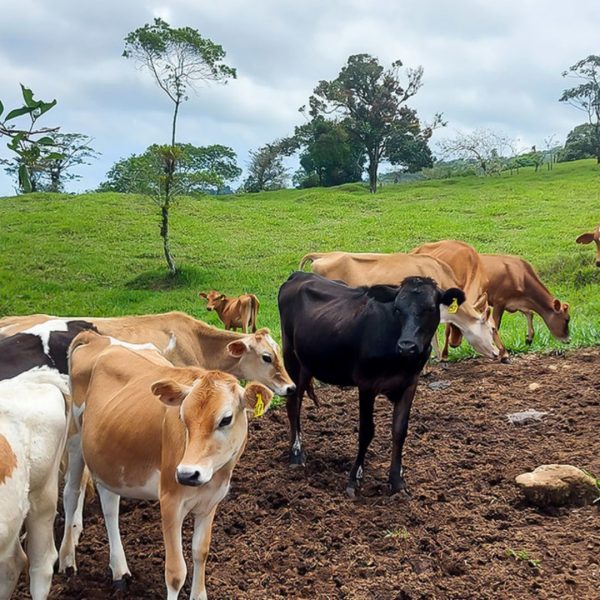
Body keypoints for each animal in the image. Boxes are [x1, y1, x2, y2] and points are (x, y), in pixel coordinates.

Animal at [71, 336, 274, 596]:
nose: (187, 474)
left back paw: (119, 570)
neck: (214, 477)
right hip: (74, 441)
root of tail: (99, 339)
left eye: (226, 419)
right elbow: (176, 572)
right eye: (182, 417)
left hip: (109, 457)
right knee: (70, 493)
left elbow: (200, 552)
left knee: (109, 505)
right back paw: (67, 559)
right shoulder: (170, 500)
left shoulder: (211, 501)